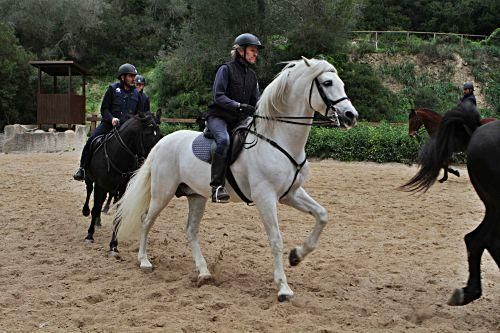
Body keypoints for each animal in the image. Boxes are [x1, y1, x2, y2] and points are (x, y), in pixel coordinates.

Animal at [81, 112, 161, 241]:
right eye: (148, 134)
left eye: (158, 133)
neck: (116, 156)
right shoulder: (99, 185)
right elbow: (95, 208)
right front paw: (89, 235)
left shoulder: (122, 189)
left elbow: (118, 215)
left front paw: (114, 243)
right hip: (89, 178)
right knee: (89, 191)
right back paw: (86, 211)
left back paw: (98, 220)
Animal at [114, 57, 360, 300]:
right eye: (327, 83)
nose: (351, 116)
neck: (279, 139)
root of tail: (161, 143)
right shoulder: (265, 197)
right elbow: (276, 239)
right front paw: (283, 288)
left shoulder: (290, 194)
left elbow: (322, 215)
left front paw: (296, 255)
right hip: (162, 193)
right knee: (146, 220)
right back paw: (144, 261)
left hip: (196, 196)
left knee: (191, 231)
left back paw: (204, 272)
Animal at [402, 103, 500, 304]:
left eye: (413, 120)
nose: (411, 135)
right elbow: (444, 163)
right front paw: (450, 175)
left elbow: (444, 163)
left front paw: (451, 174)